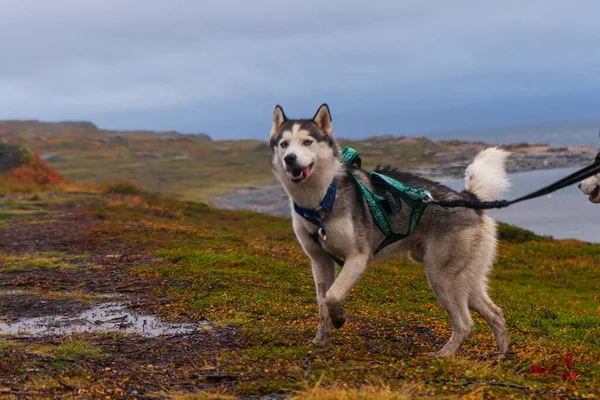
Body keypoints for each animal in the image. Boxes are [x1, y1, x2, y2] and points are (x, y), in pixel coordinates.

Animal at [270, 103, 508, 356]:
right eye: (284, 144)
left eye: (307, 142)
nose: (290, 159)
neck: (321, 199)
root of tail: (468, 198)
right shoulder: (320, 260)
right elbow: (323, 299)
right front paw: (322, 339)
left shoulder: (358, 257)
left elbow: (333, 296)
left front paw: (339, 317)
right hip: (465, 279)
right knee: (496, 312)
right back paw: (502, 354)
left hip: (441, 276)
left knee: (464, 323)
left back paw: (442, 355)